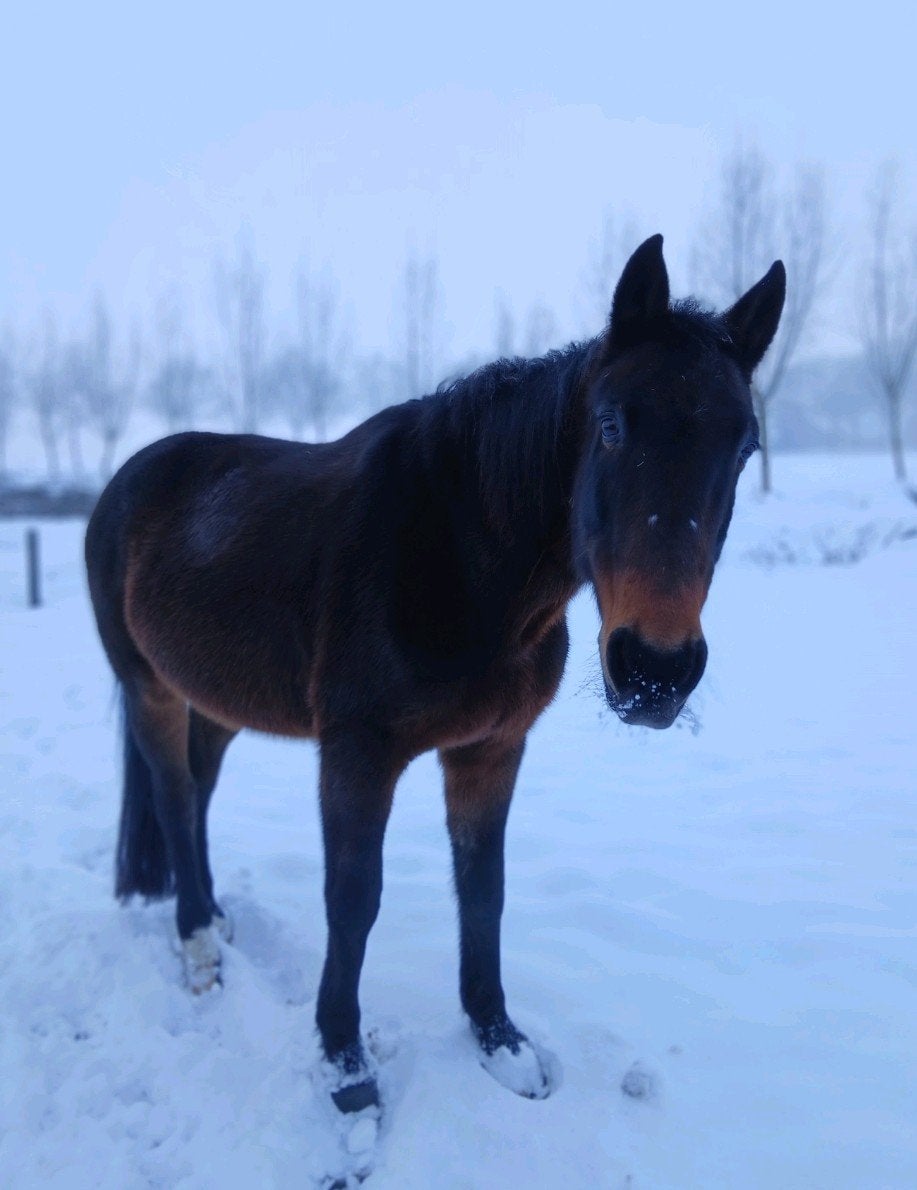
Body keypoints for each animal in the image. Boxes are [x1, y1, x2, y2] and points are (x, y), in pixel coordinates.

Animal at [85, 235, 784, 1115]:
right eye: (612, 423)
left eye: (745, 446)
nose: (654, 670)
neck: (462, 559)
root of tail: (127, 481)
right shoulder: (357, 754)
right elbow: (352, 902)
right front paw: (345, 1065)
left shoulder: (490, 750)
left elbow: (483, 891)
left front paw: (499, 1040)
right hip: (148, 687)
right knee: (175, 800)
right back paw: (198, 945)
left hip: (212, 699)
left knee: (199, 792)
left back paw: (211, 915)